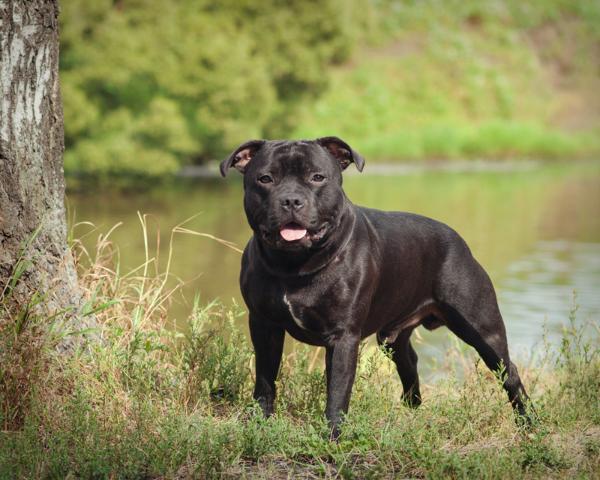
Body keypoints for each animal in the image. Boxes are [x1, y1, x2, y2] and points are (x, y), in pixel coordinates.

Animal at [220, 136, 528, 438]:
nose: (291, 200)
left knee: (509, 372)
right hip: (393, 338)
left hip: (482, 329)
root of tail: (458, 239)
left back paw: (528, 426)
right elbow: (265, 379)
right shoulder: (264, 325)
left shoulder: (343, 337)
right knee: (409, 363)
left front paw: (332, 437)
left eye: (317, 177)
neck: (293, 264)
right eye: (265, 178)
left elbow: (337, 392)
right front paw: (259, 423)